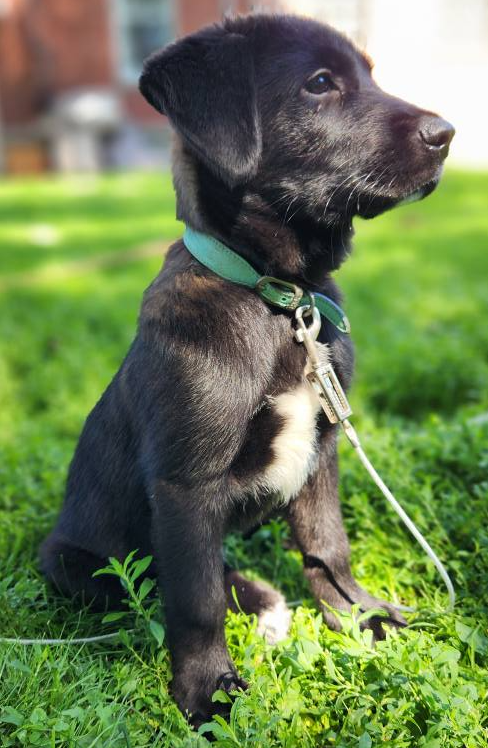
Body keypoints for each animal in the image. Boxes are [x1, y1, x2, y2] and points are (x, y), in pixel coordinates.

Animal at [40, 13, 454, 726]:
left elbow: (328, 546)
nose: (447, 135)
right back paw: (256, 600)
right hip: (70, 560)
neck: (279, 298)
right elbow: (195, 601)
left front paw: (358, 618)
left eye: (370, 76)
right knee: (160, 579)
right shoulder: (186, 485)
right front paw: (208, 691)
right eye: (320, 83)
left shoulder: (322, 449)